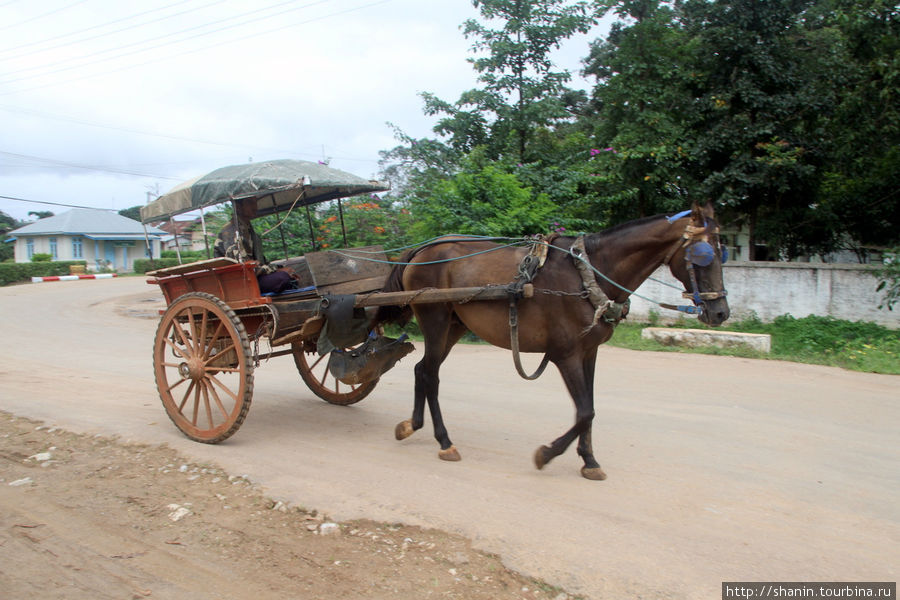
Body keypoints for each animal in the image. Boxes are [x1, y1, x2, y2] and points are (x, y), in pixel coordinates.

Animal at [372, 204, 732, 480]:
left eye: (723, 252)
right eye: (702, 254)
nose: (720, 312)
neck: (590, 276)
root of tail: (422, 250)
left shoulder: (590, 353)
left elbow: (590, 408)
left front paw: (589, 461)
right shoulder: (565, 354)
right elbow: (585, 411)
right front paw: (547, 453)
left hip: (454, 325)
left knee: (423, 370)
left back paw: (413, 426)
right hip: (435, 318)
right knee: (430, 373)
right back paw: (444, 441)